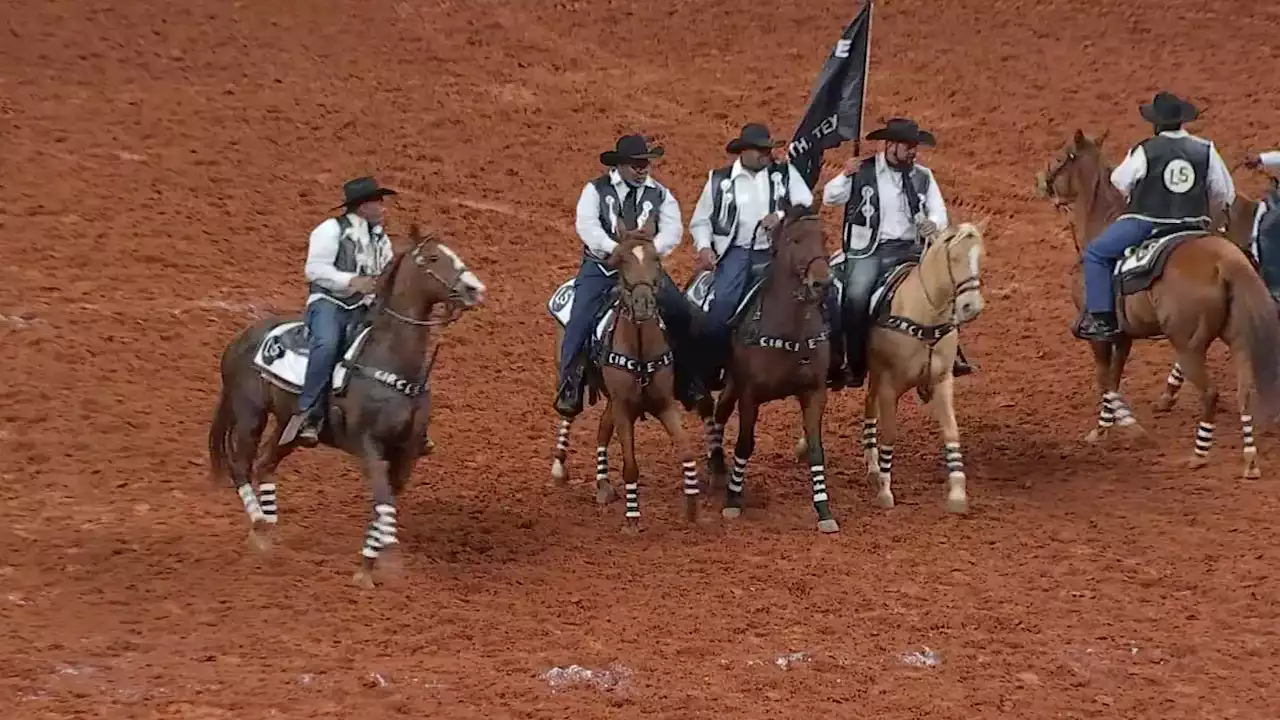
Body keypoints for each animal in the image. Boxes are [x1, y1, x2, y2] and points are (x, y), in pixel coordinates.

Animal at [207, 224, 486, 584]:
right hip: (249, 414)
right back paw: (258, 524)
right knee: (241, 464)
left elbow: (384, 502)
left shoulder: (406, 452)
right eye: (434, 258)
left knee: (266, 463)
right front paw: (389, 561)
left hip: (288, 427)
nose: (474, 288)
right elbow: (382, 496)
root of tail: (239, 340)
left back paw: (267, 534)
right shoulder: (368, 445)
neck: (389, 362)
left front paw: (368, 565)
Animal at [696, 204, 834, 530]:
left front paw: (824, 511)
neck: (789, 331)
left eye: (823, 237)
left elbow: (815, 448)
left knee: (720, 411)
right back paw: (717, 466)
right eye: (795, 240)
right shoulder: (750, 394)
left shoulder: (814, 392)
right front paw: (733, 502)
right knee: (715, 412)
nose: (822, 283)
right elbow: (745, 444)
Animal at [1034, 131, 1280, 474]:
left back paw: (1200, 453)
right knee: (1244, 392)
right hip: (1239, 338)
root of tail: (1225, 262)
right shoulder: (1123, 335)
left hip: (1189, 344)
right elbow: (1114, 377)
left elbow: (1104, 378)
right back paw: (1249, 458)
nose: (1042, 182)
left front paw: (1116, 428)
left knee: (1210, 393)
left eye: (1061, 157)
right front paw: (1112, 425)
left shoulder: (1099, 334)